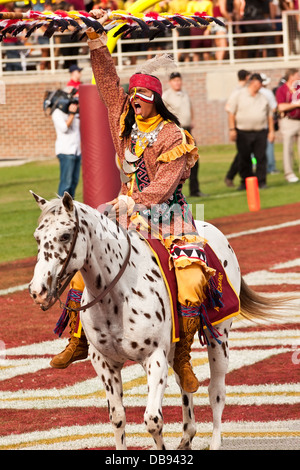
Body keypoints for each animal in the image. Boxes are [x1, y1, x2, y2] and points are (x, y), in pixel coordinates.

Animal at [27, 192, 278, 452]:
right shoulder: (105, 363)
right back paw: (187, 435)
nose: (38, 291)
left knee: (216, 391)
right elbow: (117, 417)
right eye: (37, 237)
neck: (118, 295)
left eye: (65, 235)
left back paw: (215, 441)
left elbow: (153, 420)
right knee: (183, 380)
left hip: (219, 338)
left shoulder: (154, 358)